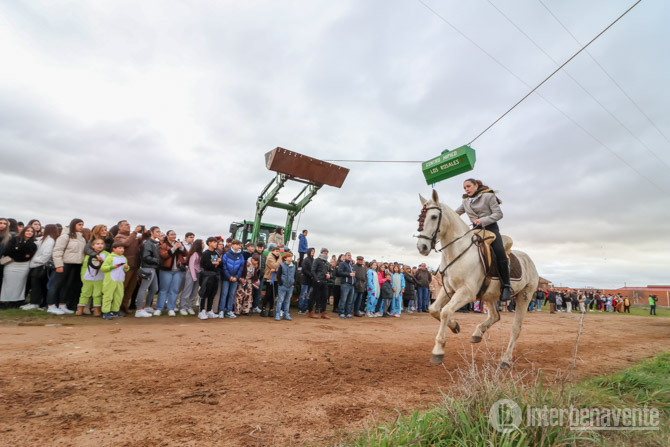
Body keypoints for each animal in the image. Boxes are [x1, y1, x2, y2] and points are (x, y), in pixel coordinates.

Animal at [416, 189, 539, 368]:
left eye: (433, 216)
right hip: (491, 295)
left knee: (516, 328)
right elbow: (434, 309)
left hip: (524, 296)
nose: (422, 247)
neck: (458, 251)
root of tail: (529, 260)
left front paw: (438, 350)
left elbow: (445, 311)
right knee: (494, 316)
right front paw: (455, 326)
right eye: (420, 218)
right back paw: (477, 334)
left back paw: (506, 359)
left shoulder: (466, 292)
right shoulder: (449, 290)